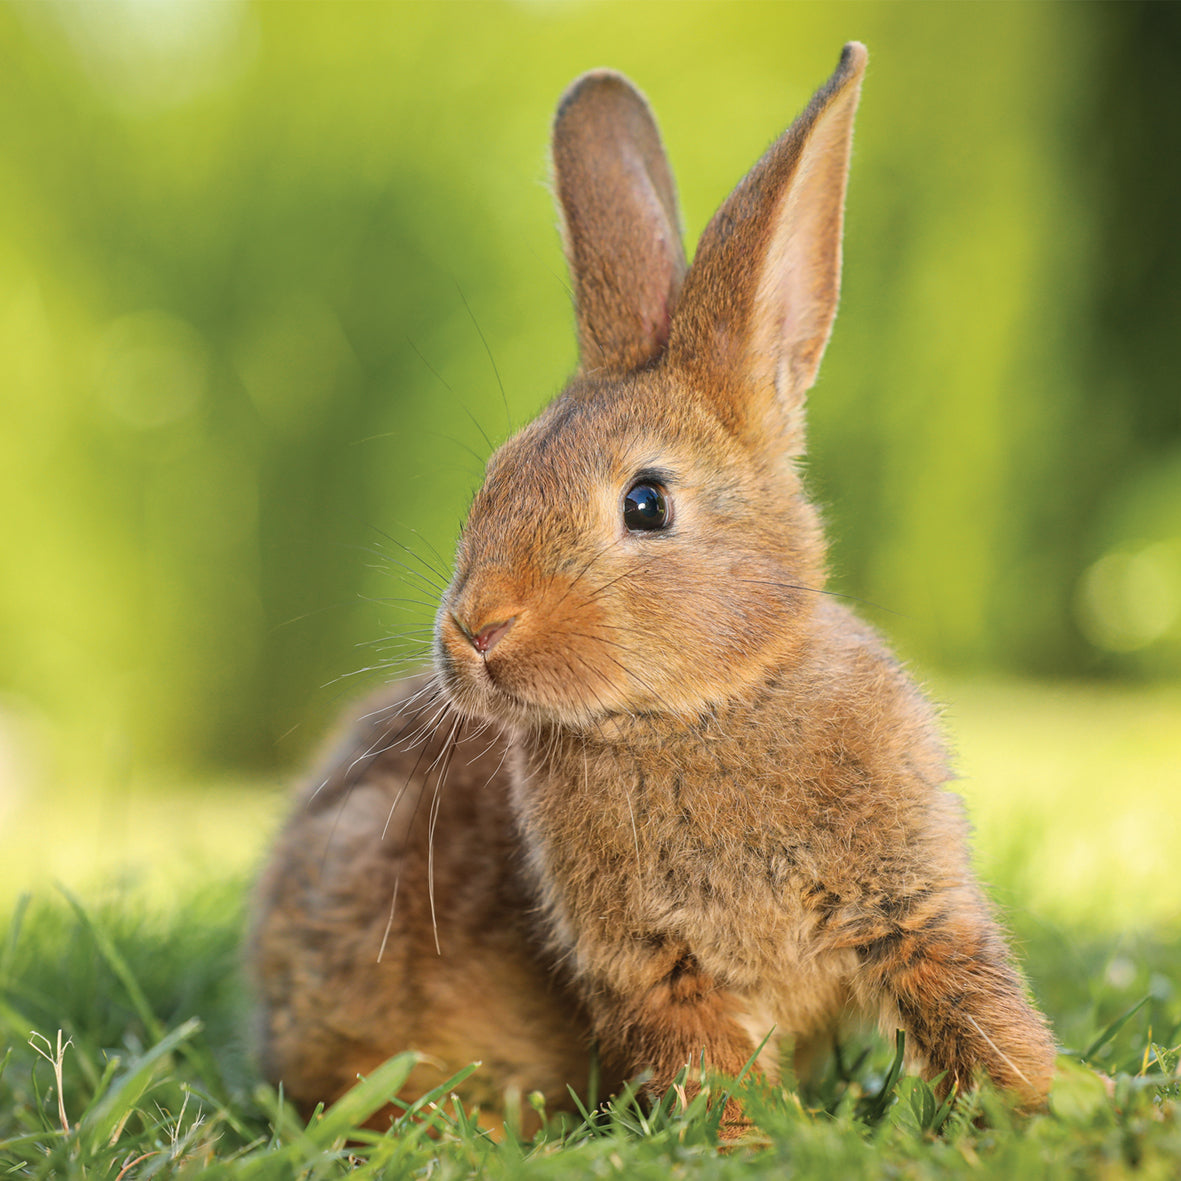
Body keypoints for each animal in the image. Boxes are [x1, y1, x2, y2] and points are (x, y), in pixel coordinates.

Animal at [249, 42, 1057, 1136]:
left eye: (645, 503)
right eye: (493, 479)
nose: (475, 632)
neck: (702, 707)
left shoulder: (914, 904)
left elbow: (973, 1003)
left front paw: (1054, 1106)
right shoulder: (653, 966)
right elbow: (702, 1059)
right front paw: (745, 1141)